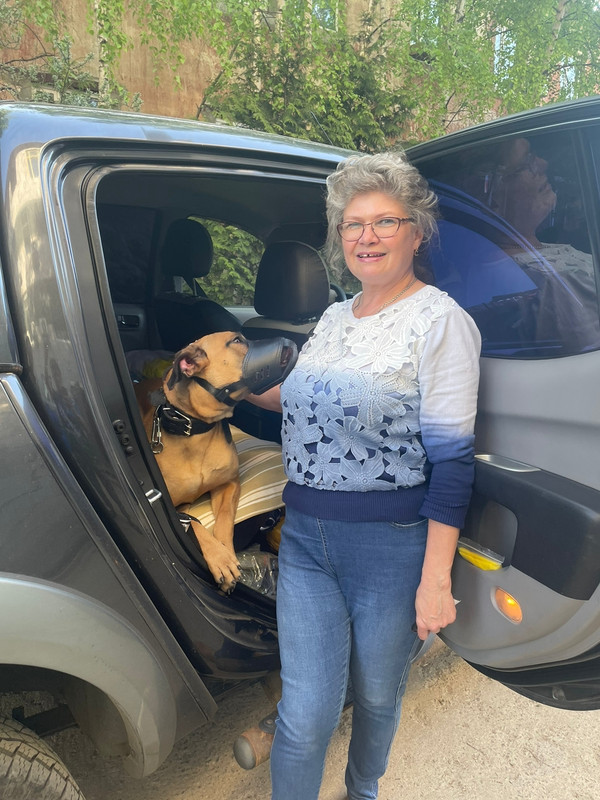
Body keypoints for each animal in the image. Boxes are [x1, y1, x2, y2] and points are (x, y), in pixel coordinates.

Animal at [135, 331, 296, 592]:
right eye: (237, 341)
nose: (290, 342)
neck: (196, 431)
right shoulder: (177, 508)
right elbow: (197, 527)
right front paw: (220, 558)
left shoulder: (228, 484)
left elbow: (224, 522)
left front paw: (227, 554)